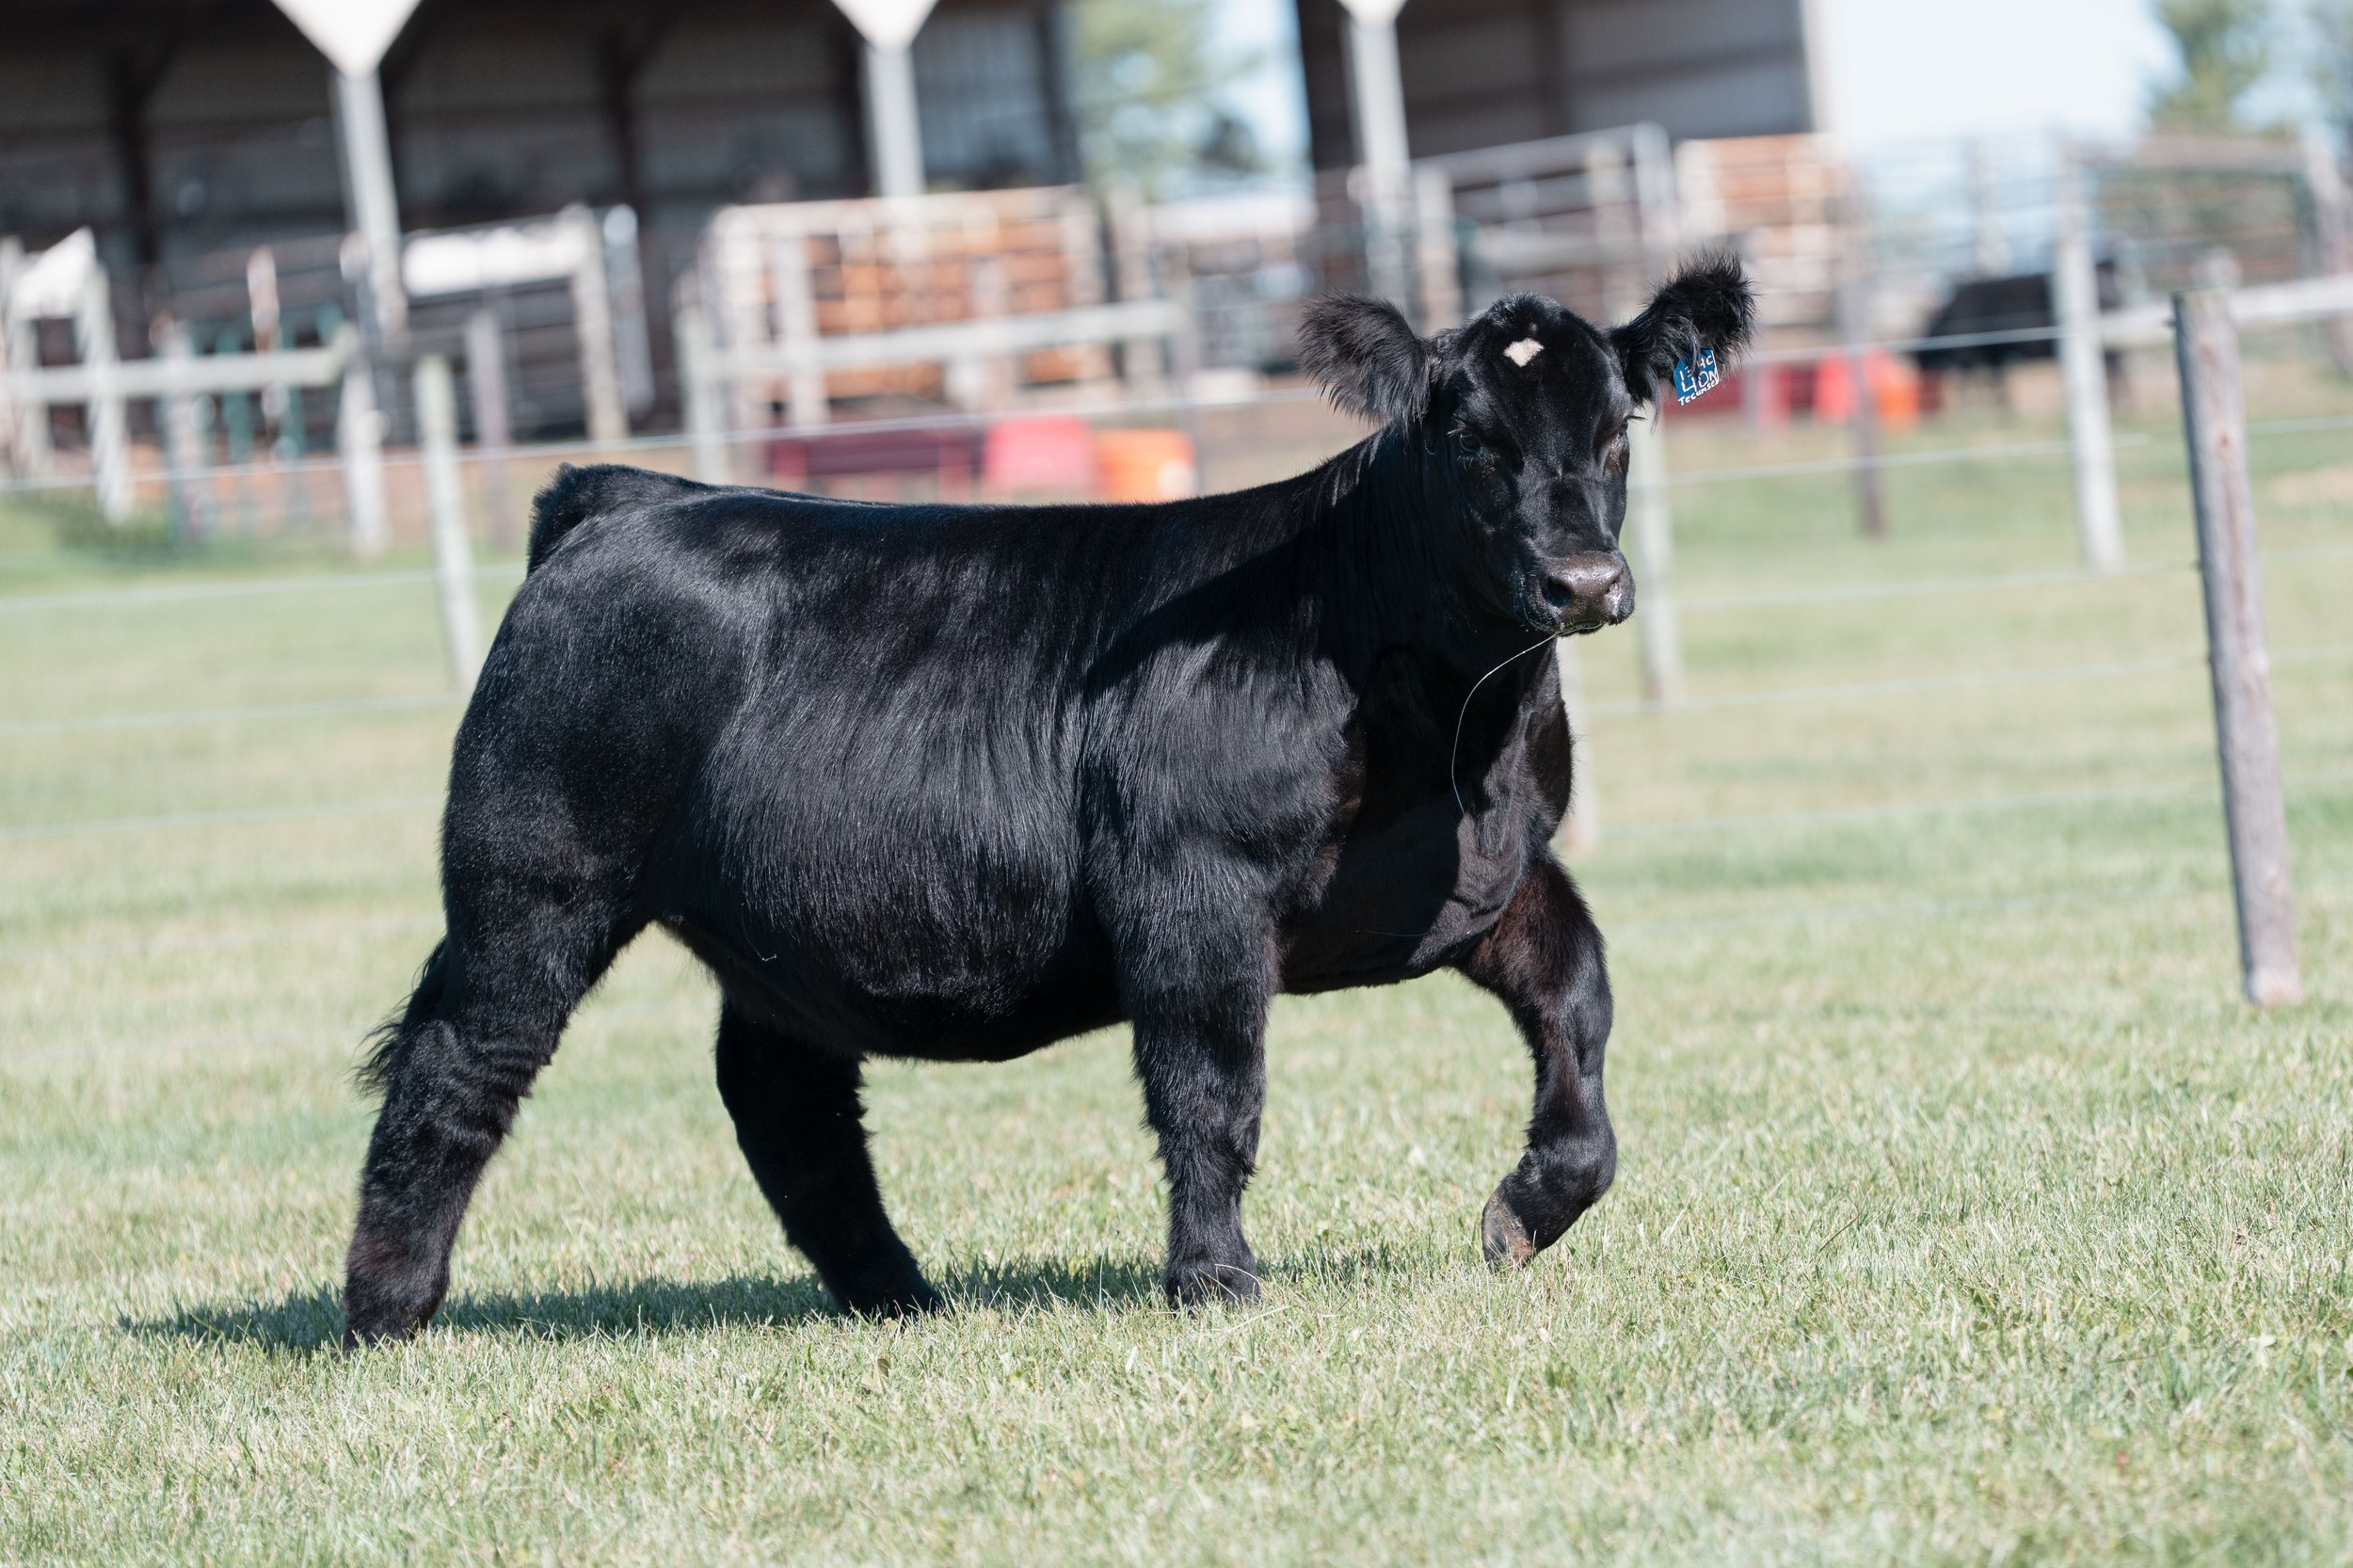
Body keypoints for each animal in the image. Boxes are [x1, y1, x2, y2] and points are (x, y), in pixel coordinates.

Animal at [340, 257, 1755, 1346]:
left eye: (1617, 434)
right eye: (1471, 441)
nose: (1583, 581)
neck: (1459, 739)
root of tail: (629, 498)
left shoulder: (1493, 873)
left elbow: (1579, 1000)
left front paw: (1527, 1209)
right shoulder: (1191, 888)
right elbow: (1209, 1088)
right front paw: (1215, 1282)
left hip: (769, 931)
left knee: (785, 1100)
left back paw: (903, 1300)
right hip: (533, 880)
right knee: (458, 1063)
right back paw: (384, 1312)